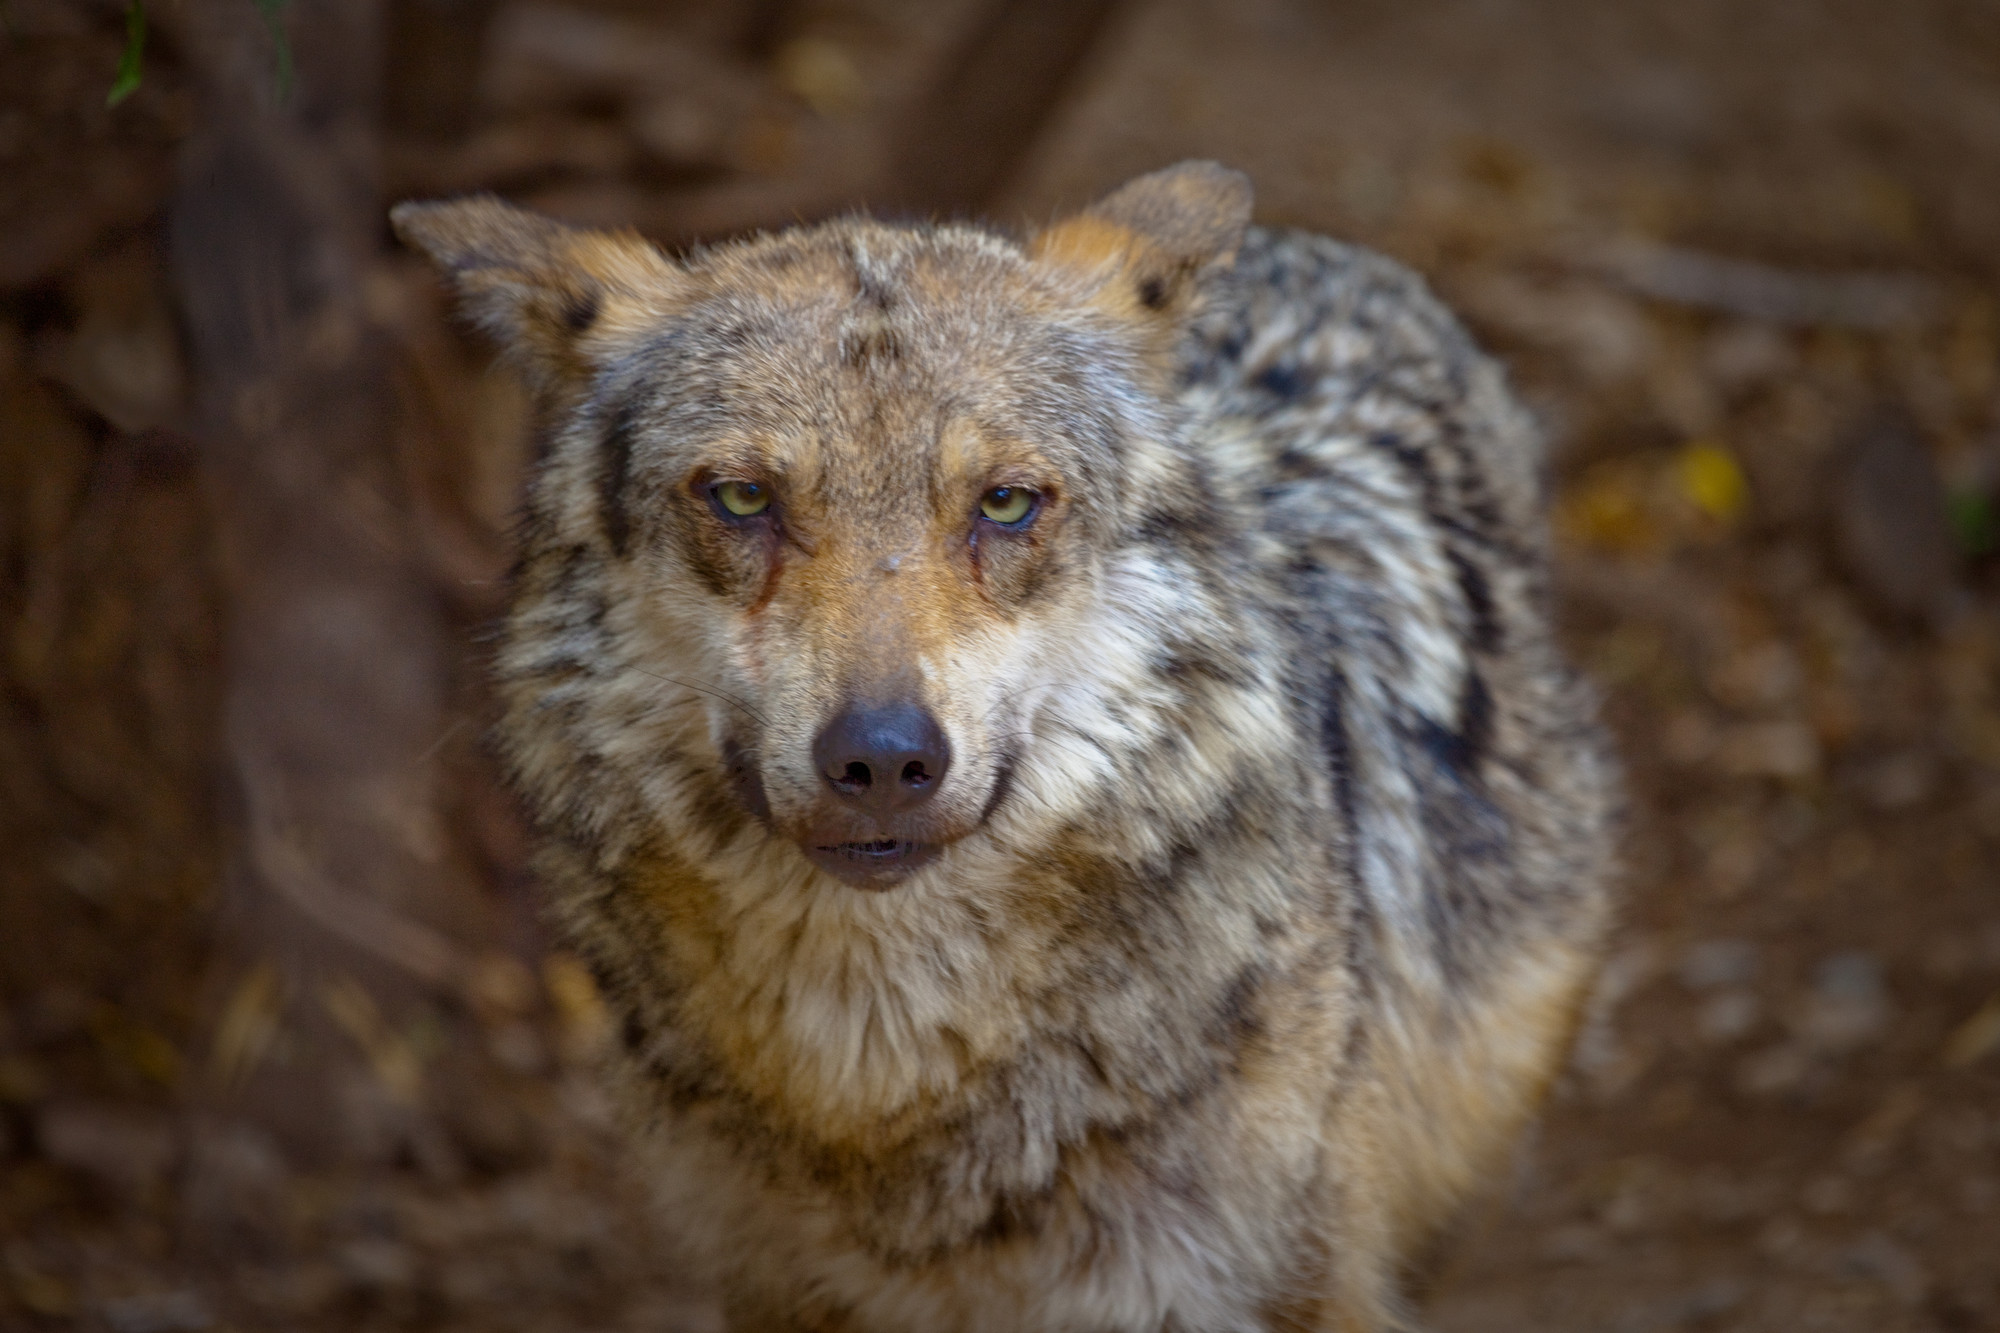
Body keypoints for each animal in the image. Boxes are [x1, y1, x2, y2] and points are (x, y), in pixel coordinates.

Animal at [394, 161, 1616, 1332]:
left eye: (1005, 504)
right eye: (742, 498)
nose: (883, 758)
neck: (879, 1076)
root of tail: (1322, 247)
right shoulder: (771, 1287)